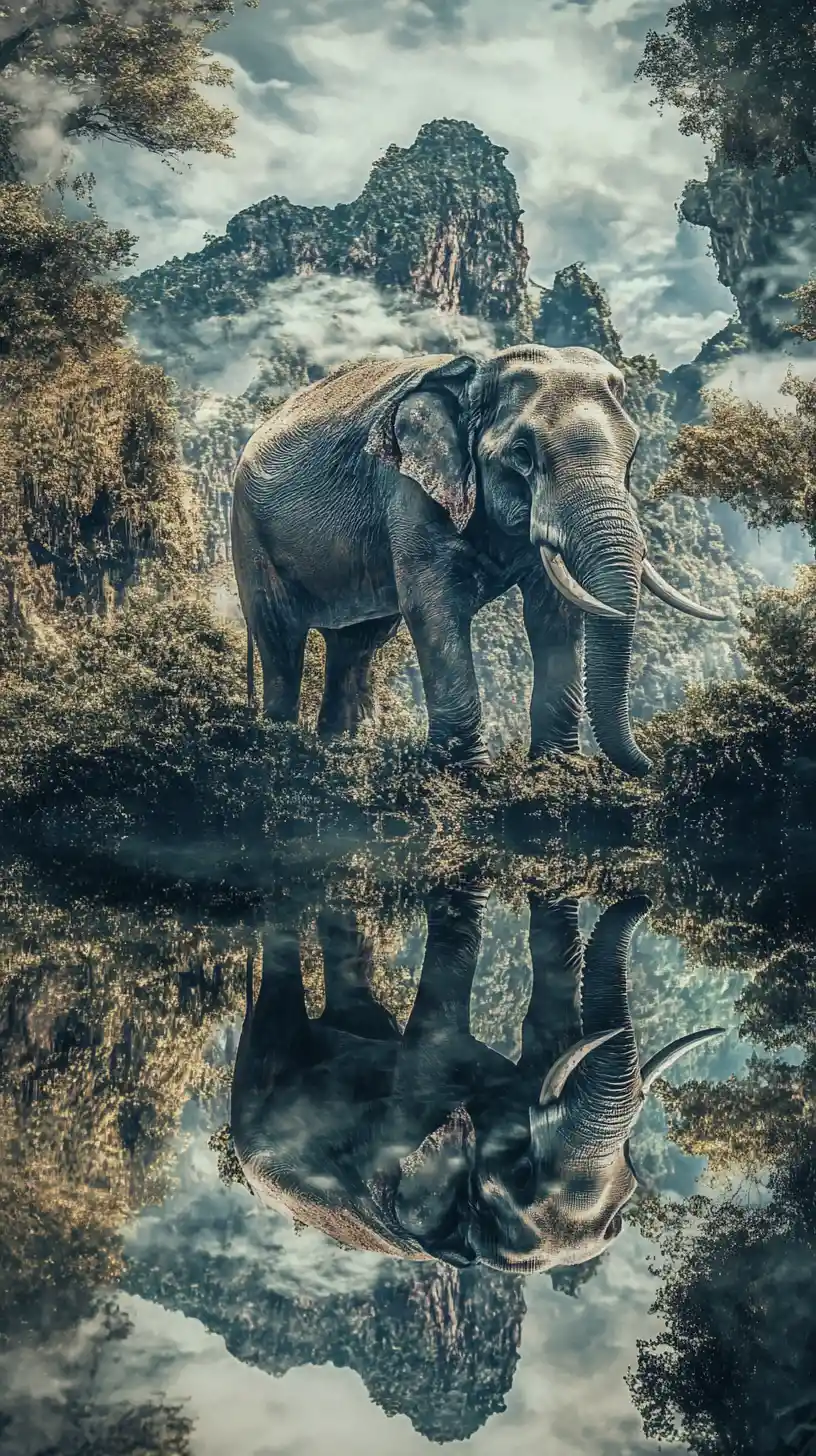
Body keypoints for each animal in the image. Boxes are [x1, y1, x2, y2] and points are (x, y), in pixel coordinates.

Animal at [231, 344, 726, 777]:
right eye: (522, 454)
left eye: (632, 454)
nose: (653, 765)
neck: (475, 379)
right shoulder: (410, 491)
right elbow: (433, 608)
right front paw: (469, 775)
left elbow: (555, 611)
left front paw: (558, 769)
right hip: (250, 535)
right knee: (281, 639)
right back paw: (281, 750)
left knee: (357, 642)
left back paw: (345, 753)